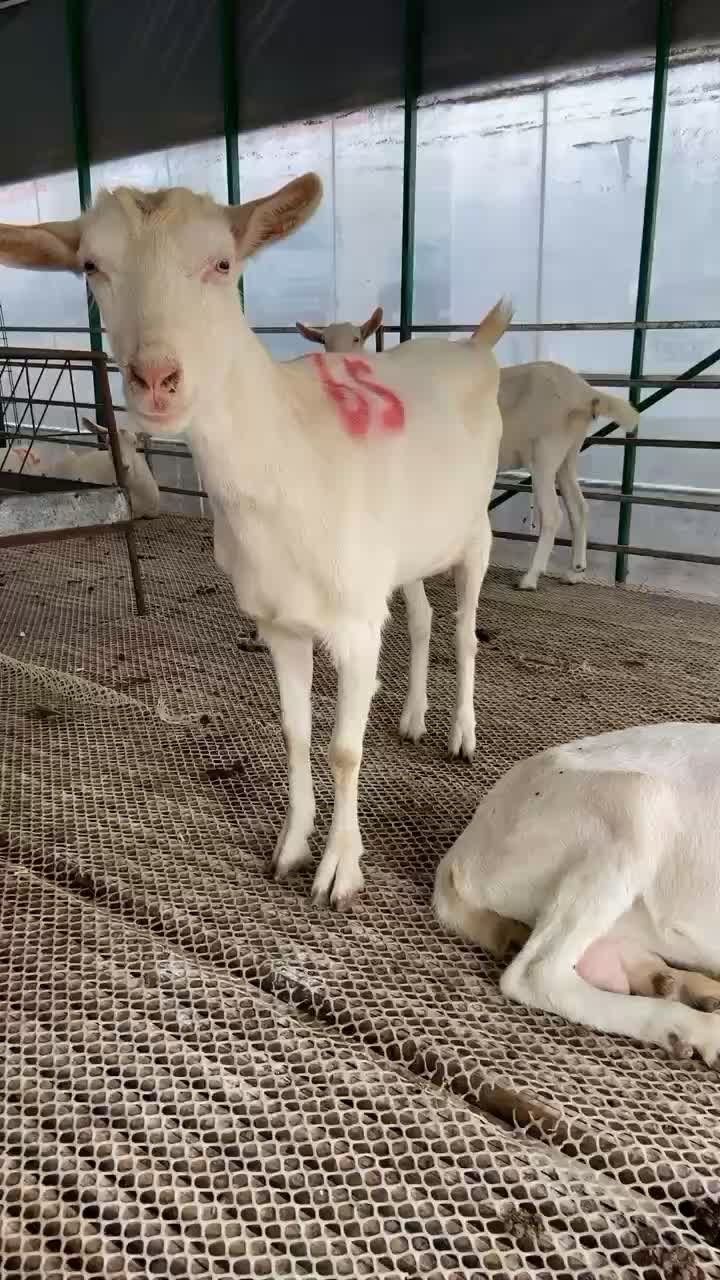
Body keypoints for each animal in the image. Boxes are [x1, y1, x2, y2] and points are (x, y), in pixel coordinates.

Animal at [497, 366, 635, 588]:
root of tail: (586, 393)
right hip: (567, 456)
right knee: (578, 507)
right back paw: (575, 572)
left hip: (545, 454)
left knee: (553, 514)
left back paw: (531, 577)